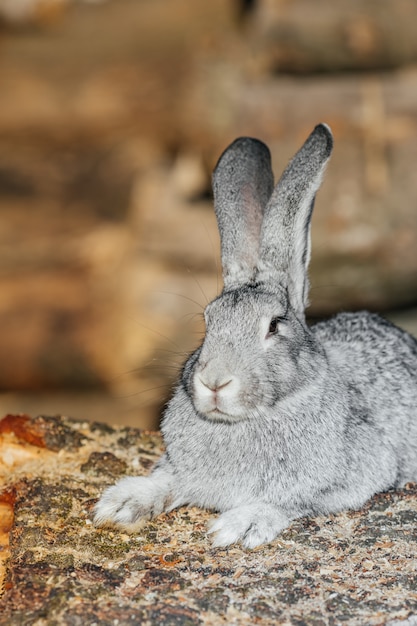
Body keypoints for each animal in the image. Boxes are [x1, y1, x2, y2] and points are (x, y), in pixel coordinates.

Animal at [94, 125, 416, 544]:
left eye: (274, 325)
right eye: (208, 320)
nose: (215, 382)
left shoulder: (358, 472)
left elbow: (292, 501)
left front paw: (238, 526)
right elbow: (168, 480)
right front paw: (121, 503)